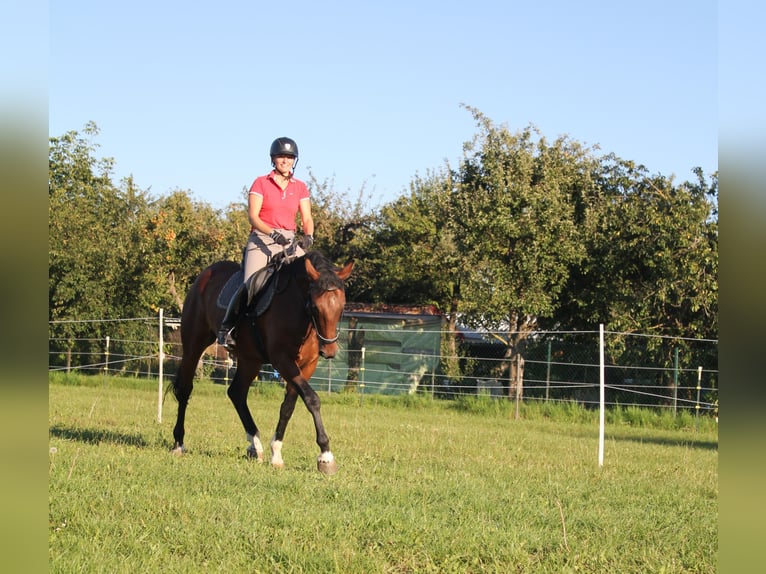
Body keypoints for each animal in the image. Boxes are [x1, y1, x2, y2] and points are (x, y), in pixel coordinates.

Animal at [170, 249, 356, 476]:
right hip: (194, 346)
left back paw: (255, 445)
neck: (297, 309)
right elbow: (312, 399)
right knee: (185, 389)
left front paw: (276, 453)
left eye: (342, 306)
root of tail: (206, 274)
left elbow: (289, 406)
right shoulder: (282, 360)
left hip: (250, 359)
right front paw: (326, 456)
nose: (329, 351)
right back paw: (179, 442)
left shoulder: (307, 365)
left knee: (236, 392)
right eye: (314, 306)